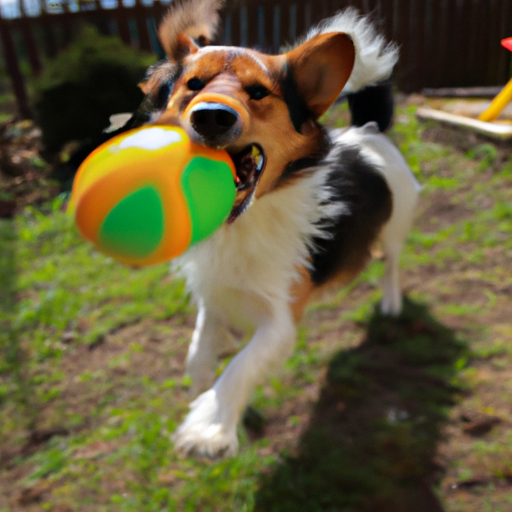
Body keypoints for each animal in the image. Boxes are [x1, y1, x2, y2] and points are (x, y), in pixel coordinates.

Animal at [123, 0, 420, 456]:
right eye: (193, 85)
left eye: (259, 92)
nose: (211, 117)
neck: (239, 223)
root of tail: (368, 130)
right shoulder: (212, 291)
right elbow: (198, 353)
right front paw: (203, 392)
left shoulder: (281, 319)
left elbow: (242, 366)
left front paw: (209, 426)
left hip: (396, 224)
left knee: (390, 262)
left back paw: (390, 301)